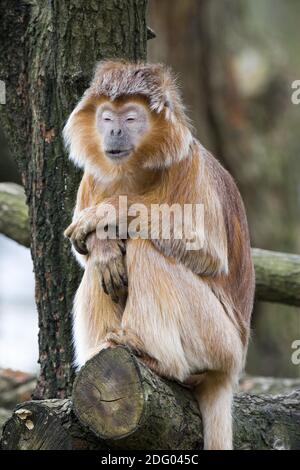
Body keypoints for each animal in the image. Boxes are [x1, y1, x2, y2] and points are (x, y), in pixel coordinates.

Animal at [63, 60, 255, 450]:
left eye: (131, 118)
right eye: (107, 118)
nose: (115, 131)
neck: (134, 171)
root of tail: (233, 369)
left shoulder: (189, 165)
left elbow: (207, 251)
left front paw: (108, 213)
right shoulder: (92, 178)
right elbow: (86, 255)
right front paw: (103, 243)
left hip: (219, 342)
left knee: (146, 246)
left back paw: (155, 357)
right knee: (100, 269)